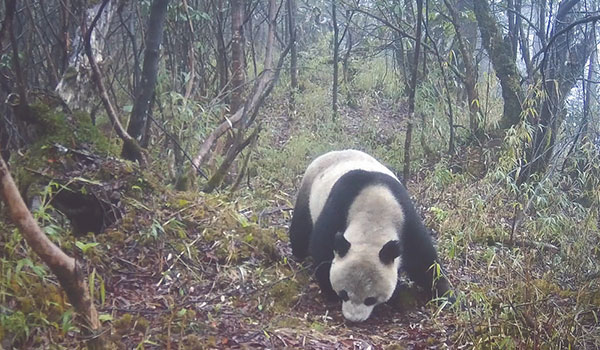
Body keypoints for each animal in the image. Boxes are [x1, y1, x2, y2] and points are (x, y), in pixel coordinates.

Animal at [288, 149, 452, 322]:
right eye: (344, 294)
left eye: (370, 299)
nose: (353, 319)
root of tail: (333, 152)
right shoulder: (339, 206)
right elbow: (322, 246)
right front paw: (329, 290)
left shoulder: (406, 216)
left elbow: (425, 261)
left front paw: (446, 297)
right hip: (309, 188)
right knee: (301, 228)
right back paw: (299, 252)